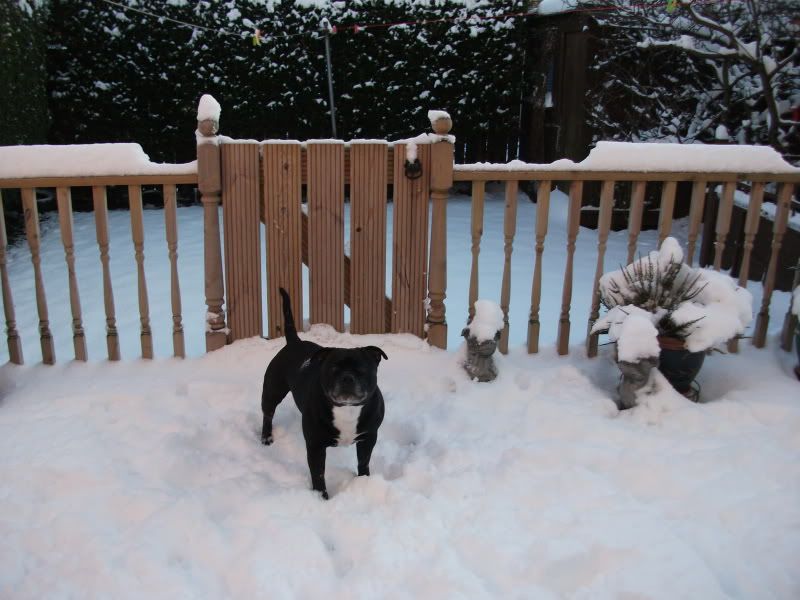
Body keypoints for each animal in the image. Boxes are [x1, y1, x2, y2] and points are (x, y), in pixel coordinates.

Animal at [260, 288, 388, 500]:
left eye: (361, 370)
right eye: (333, 369)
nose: (347, 378)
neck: (347, 410)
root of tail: (294, 342)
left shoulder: (368, 437)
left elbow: (364, 462)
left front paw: (364, 482)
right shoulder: (315, 446)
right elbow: (318, 474)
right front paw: (322, 498)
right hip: (272, 390)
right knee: (268, 414)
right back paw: (266, 437)